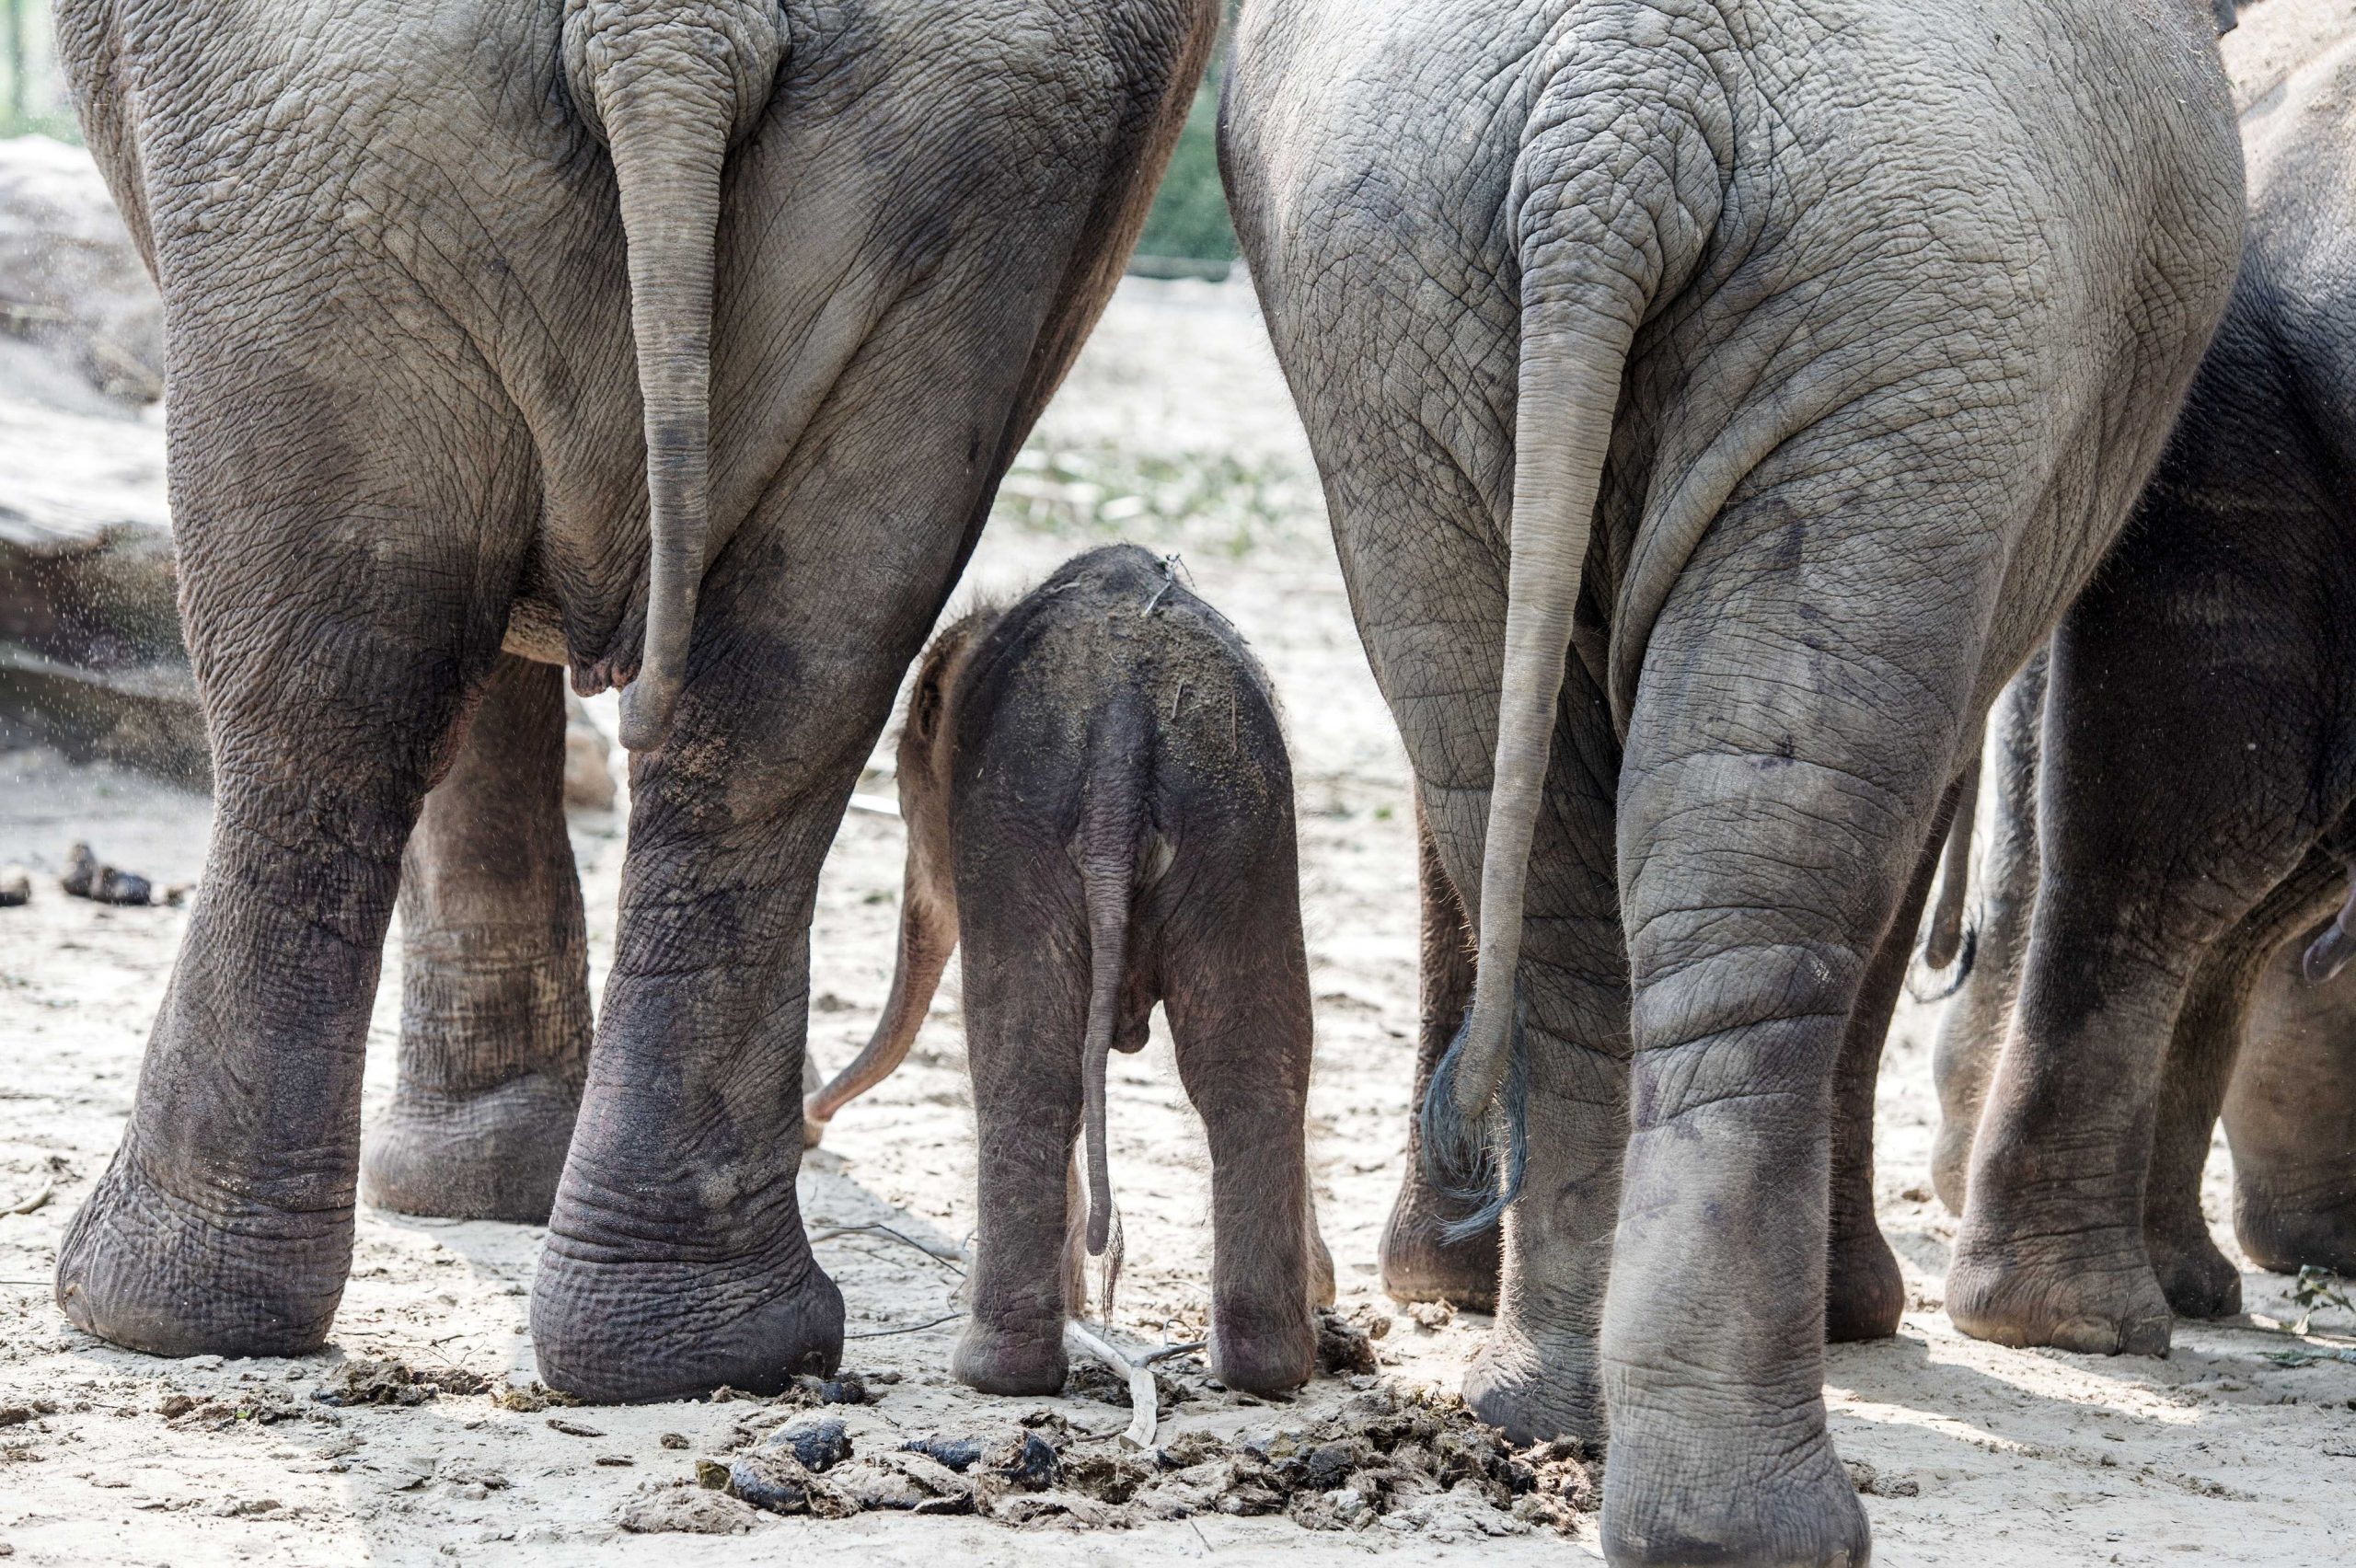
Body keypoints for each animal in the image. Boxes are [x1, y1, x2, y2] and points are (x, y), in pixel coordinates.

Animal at [49, 0, 1217, 1402]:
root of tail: (676, 31)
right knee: (764, 687)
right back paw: (689, 1345)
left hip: (317, 151)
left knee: (348, 694)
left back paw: (143, 1309)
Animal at [803, 544, 1335, 1394]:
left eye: (906, 802)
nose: (812, 1122)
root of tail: (1125, 725)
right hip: (1240, 832)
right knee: (1250, 1068)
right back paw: (1269, 1369)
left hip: (1023, 831)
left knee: (1027, 1068)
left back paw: (992, 1371)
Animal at [1220, 0, 2242, 1558]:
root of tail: (1620, 114)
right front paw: (1861, 1320)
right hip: (1911, 327)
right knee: (1773, 868)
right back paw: (1756, 1524)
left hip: (1408, 322)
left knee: (1551, 830)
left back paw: (1555, 1426)